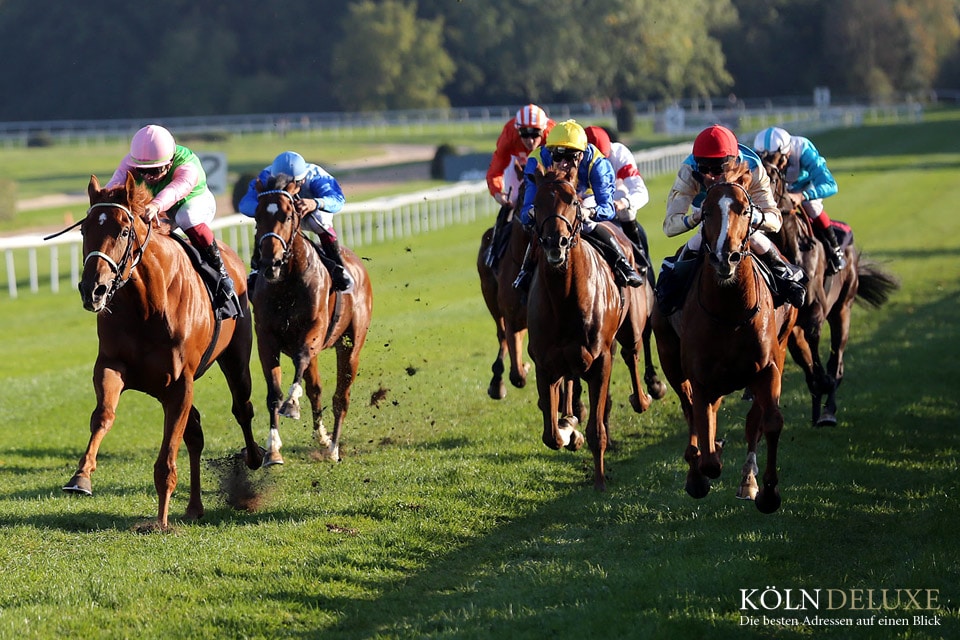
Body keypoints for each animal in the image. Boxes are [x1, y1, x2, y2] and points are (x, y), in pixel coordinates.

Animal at [66, 174, 262, 528]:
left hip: (236, 358)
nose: (93, 290)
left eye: (124, 231)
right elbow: (103, 415)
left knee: (242, 407)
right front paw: (81, 477)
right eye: (85, 229)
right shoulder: (112, 366)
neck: (147, 305)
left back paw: (255, 458)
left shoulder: (180, 383)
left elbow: (168, 453)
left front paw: (161, 519)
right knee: (195, 431)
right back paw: (195, 506)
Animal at [249, 175, 374, 464]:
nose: (270, 263)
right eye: (257, 216)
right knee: (316, 390)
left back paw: (334, 447)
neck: (286, 284)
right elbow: (274, 394)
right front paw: (273, 449)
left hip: (351, 346)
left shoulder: (313, 331)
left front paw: (292, 404)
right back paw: (323, 438)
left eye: (287, 215)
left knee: (341, 397)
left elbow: (302, 361)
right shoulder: (266, 339)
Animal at [520, 165, 664, 490]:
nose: (555, 243)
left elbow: (596, 430)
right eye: (536, 203)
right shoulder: (545, 363)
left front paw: (599, 482)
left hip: (630, 327)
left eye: (573, 200)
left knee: (633, 355)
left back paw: (647, 394)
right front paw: (568, 430)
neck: (564, 299)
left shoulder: (600, 361)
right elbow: (551, 435)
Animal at [648, 166, 800, 516]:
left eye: (744, 210)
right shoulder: (700, 377)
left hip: (781, 347)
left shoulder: (766, 368)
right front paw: (703, 466)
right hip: (670, 357)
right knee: (691, 410)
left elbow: (770, 422)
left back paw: (747, 480)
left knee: (752, 420)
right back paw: (699, 466)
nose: (724, 258)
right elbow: (705, 441)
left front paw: (768, 493)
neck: (730, 311)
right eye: (704, 213)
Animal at [764, 162, 900, 428]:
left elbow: (815, 340)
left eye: (773, 176)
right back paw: (818, 406)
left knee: (837, 361)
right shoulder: (792, 323)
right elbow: (804, 358)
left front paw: (824, 382)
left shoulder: (816, 307)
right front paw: (817, 382)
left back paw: (828, 410)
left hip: (842, 309)